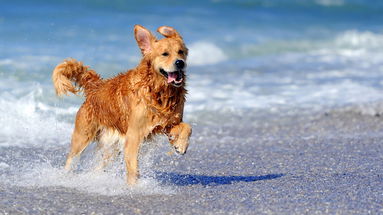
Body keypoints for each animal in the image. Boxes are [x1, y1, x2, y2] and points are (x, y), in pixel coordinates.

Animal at [51, 24, 192, 185]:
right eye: (165, 54)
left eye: (181, 52)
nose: (180, 62)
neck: (159, 91)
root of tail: (96, 87)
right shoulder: (134, 135)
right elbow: (133, 168)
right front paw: (133, 187)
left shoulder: (167, 124)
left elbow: (187, 127)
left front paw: (180, 145)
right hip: (82, 138)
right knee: (71, 160)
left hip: (112, 147)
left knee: (99, 166)